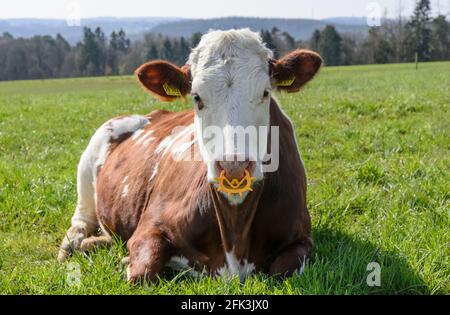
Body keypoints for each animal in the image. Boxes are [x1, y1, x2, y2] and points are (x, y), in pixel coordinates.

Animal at [58, 28, 322, 282]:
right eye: (197, 97)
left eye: (265, 93)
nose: (234, 166)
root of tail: (154, 114)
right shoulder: (150, 226)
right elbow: (142, 273)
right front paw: (128, 262)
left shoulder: (301, 238)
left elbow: (282, 271)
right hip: (90, 160)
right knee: (80, 221)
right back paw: (73, 244)